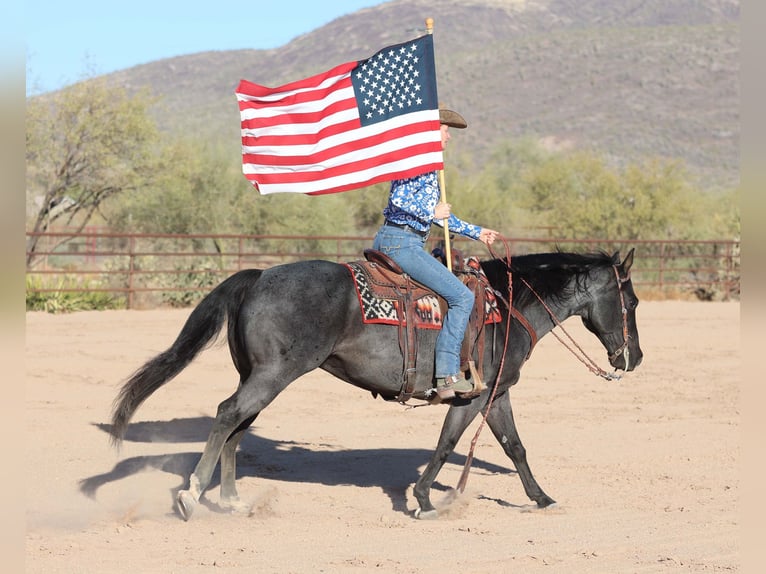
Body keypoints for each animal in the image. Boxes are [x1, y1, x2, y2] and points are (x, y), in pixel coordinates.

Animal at [111, 249, 644, 520]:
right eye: (632, 301)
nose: (634, 358)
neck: (506, 306)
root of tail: (259, 276)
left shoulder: (493, 393)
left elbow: (514, 446)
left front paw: (540, 497)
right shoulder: (473, 395)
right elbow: (449, 443)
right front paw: (425, 499)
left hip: (259, 377)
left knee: (237, 427)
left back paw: (231, 499)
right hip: (270, 376)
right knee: (225, 415)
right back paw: (192, 496)